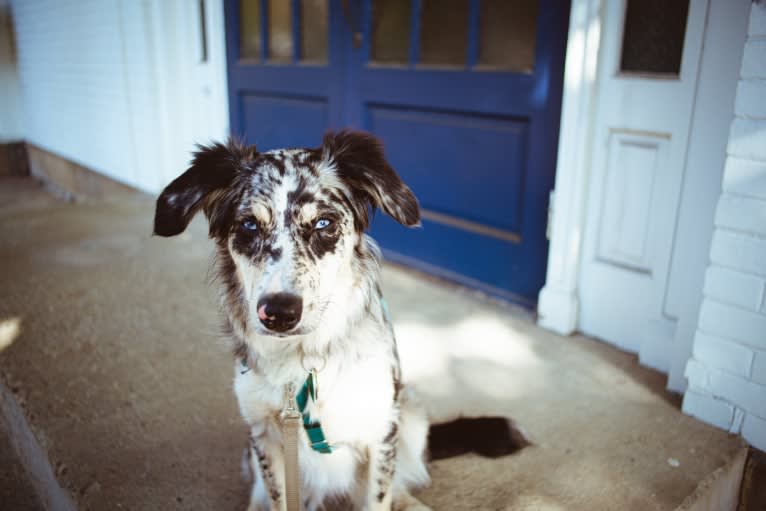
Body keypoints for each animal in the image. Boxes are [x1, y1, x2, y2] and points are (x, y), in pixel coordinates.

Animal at [152, 130, 520, 510]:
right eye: (249, 225)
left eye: (323, 223)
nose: (279, 313)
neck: (304, 359)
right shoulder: (263, 433)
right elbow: (276, 498)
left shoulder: (381, 430)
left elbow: (379, 497)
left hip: (411, 414)